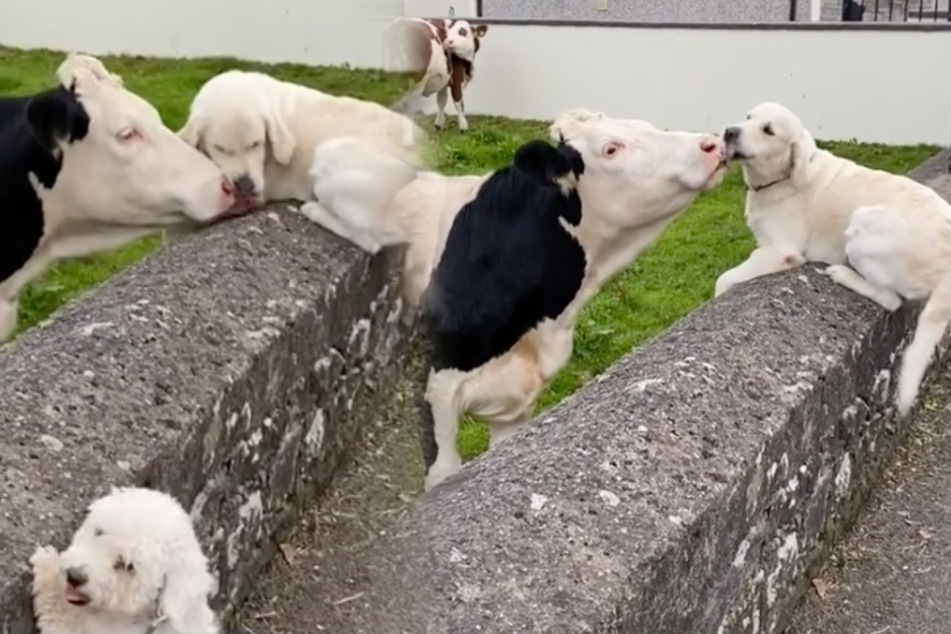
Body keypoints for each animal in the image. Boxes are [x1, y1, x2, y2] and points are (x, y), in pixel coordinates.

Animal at [716, 100, 951, 414]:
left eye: (768, 130)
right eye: (748, 117)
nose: (729, 132)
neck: (783, 178)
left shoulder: (781, 251)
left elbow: (723, 279)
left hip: (863, 222)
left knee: (890, 299)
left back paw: (844, 274)